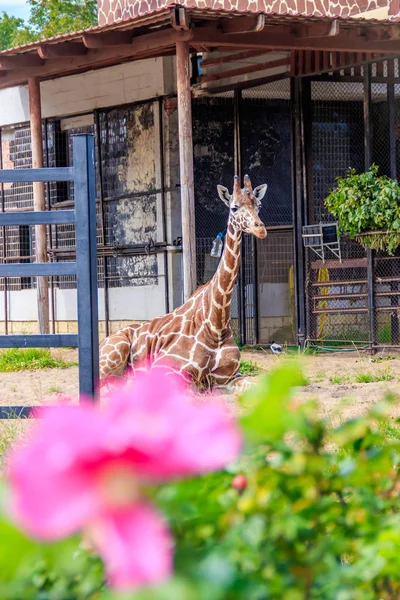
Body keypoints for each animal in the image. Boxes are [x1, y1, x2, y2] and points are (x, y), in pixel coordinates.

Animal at [99, 173, 268, 394]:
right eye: (234, 207)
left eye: (258, 204)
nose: (260, 229)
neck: (216, 324)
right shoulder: (167, 370)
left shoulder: (231, 377)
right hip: (117, 349)